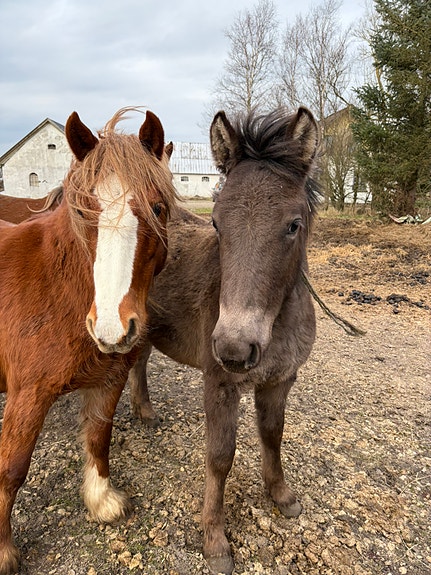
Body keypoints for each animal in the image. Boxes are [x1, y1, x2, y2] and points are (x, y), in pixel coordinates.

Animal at [0, 107, 177, 575]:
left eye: (157, 208)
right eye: (83, 211)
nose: (112, 329)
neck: (60, 290)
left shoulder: (108, 379)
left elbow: (99, 437)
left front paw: (101, 502)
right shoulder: (27, 396)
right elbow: (12, 469)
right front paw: (3, 550)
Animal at [127, 106, 321, 575]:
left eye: (294, 225)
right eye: (216, 223)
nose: (235, 349)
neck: (276, 324)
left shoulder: (280, 381)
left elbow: (273, 435)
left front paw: (282, 496)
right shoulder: (220, 383)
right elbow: (220, 456)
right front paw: (214, 539)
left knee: (139, 361)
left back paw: (145, 412)